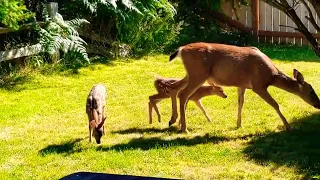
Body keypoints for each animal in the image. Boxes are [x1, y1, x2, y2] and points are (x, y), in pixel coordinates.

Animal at [168, 41, 320, 132]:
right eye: (311, 91)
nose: (318, 104)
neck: (272, 75)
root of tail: (181, 49)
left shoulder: (242, 85)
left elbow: (240, 103)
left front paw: (239, 125)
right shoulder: (258, 85)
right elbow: (275, 104)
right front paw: (288, 126)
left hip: (191, 74)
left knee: (175, 87)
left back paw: (174, 121)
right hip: (198, 74)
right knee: (183, 94)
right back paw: (184, 128)